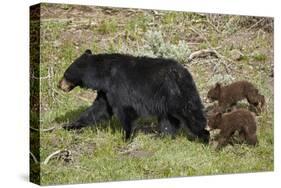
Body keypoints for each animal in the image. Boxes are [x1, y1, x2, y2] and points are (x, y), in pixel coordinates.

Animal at [58, 49, 208, 142]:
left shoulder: (119, 87)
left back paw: (204, 137)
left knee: (191, 114)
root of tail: (185, 72)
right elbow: (98, 109)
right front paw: (69, 125)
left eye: (65, 74)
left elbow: (125, 110)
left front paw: (125, 136)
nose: (59, 85)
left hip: (176, 94)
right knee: (169, 120)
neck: (104, 74)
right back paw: (163, 136)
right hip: (167, 100)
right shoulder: (106, 91)